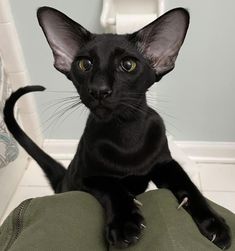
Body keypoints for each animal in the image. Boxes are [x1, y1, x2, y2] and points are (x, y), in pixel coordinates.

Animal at [3, 5, 231, 249]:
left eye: (128, 65)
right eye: (84, 64)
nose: (99, 89)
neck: (126, 135)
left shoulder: (164, 163)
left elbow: (188, 184)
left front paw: (214, 224)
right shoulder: (86, 177)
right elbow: (112, 186)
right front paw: (125, 224)